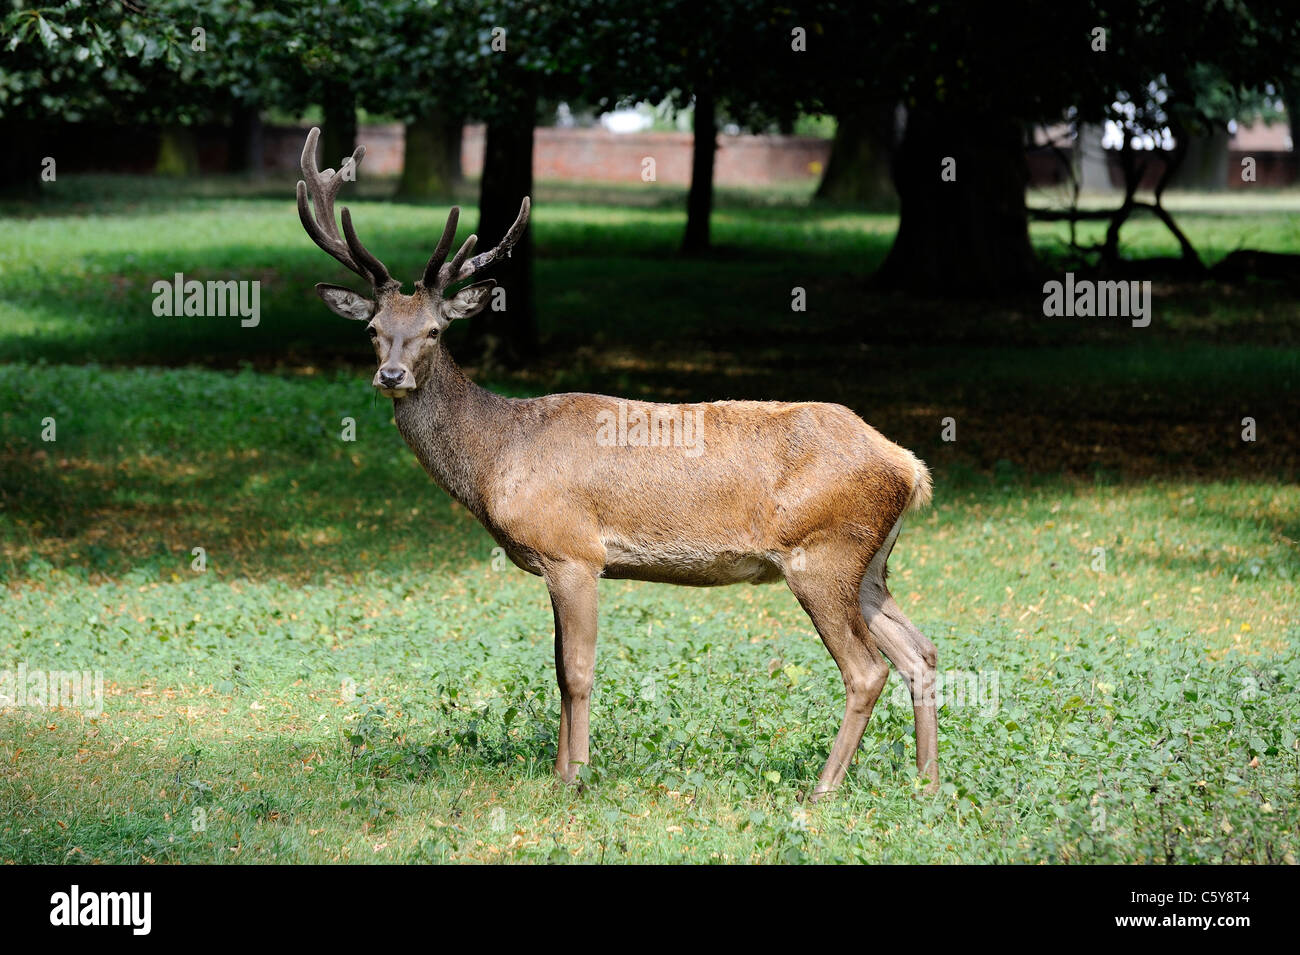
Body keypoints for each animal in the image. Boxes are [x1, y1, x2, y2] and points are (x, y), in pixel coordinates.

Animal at [297, 127, 941, 800]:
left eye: (433, 331)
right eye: (372, 329)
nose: (391, 374)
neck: (498, 456)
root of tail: (909, 468)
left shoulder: (573, 551)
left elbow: (576, 670)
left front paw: (575, 779)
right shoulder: (557, 561)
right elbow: (557, 668)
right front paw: (559, 772)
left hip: (824, 553)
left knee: (867, 669)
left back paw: (821, 790)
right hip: (870, 564)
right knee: (920, 652)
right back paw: (927, 783)